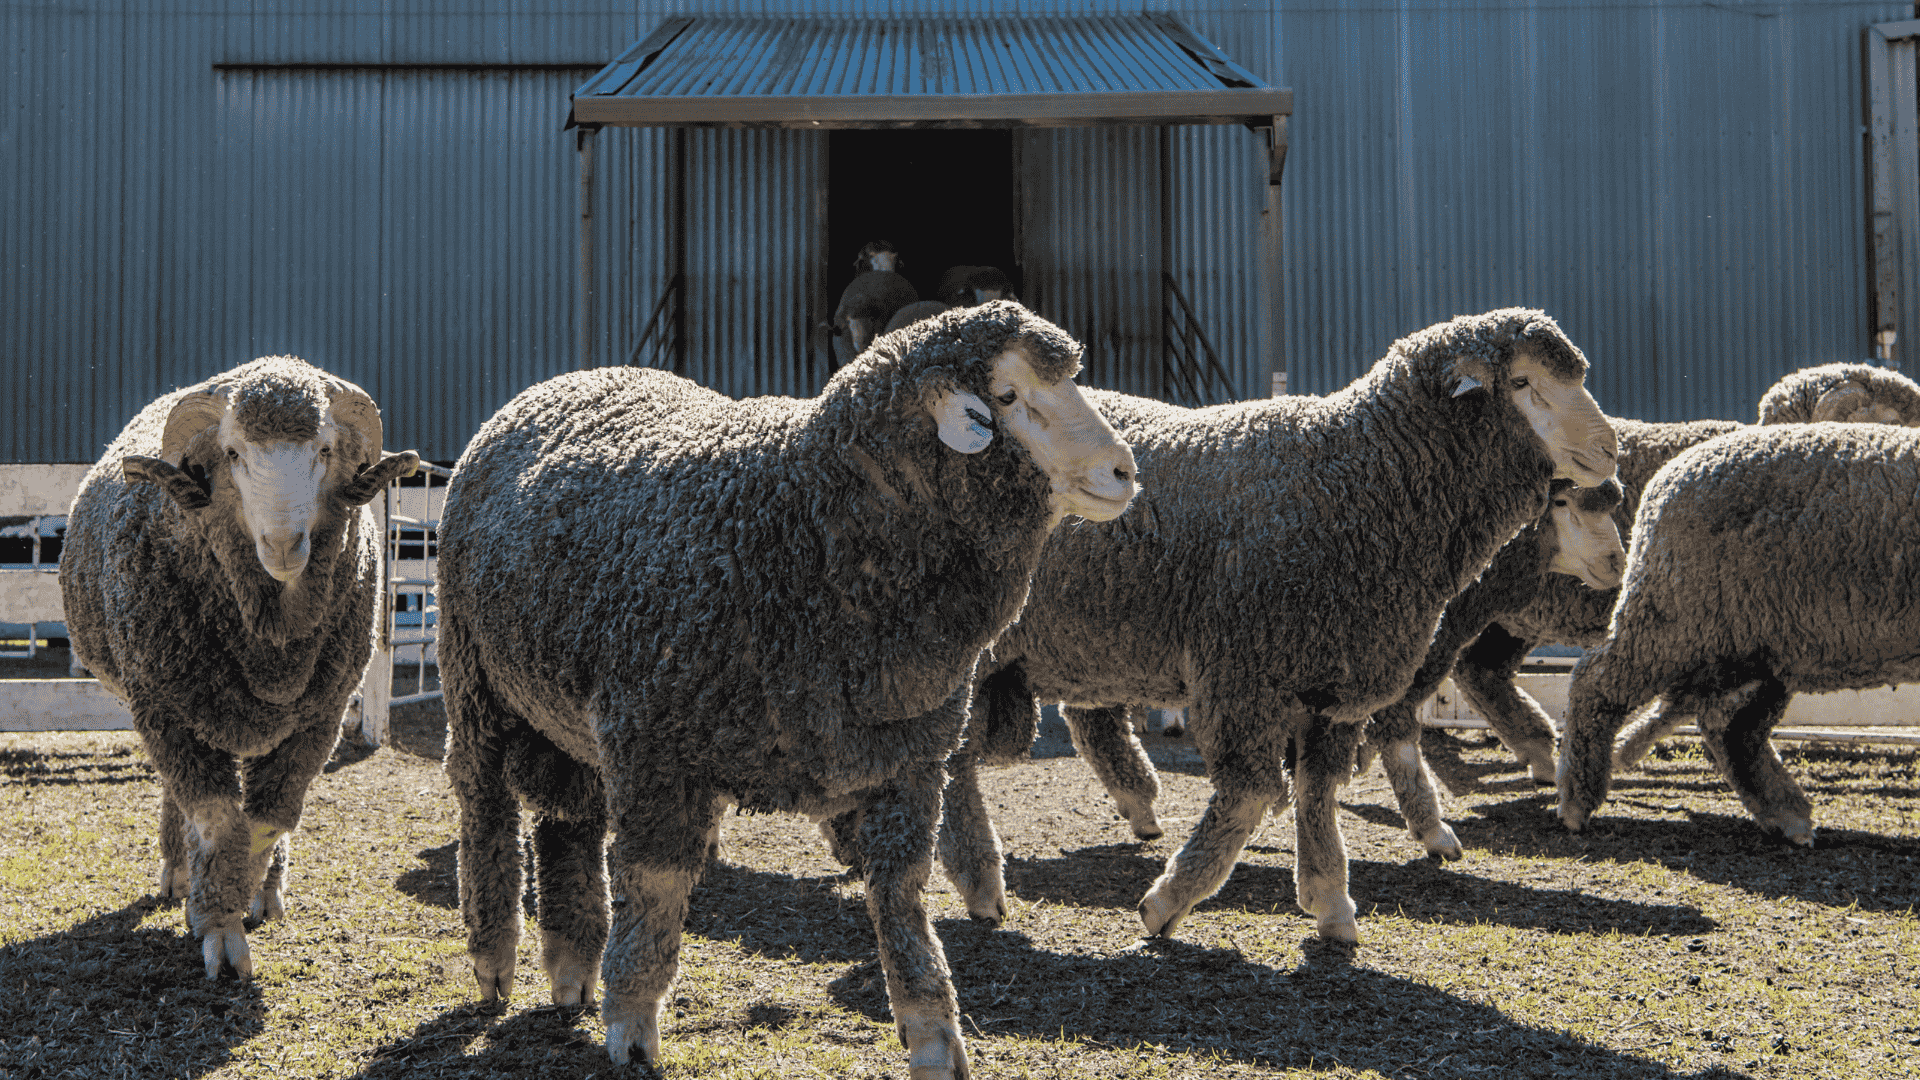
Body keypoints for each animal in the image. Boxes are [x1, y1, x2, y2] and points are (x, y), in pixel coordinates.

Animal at [57, 356, 419, 979]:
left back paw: (267, 892)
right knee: (179, 795)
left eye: (325, 450)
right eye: (232, 454)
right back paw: (179, 874)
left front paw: (242, 890)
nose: (284, 544)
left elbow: (266, 820)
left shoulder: (318, 719)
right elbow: (217, 818)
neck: (270, 640)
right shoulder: (167, 710)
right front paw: (218, 926)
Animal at [433, 301, 1138, 1079]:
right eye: (1008, 397)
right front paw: (632, 1026)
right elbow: (652, 891)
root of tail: (558, 383)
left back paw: (570, 973)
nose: (1124, 470)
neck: (800, 524)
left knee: (569, 825)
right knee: (486, 818)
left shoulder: (906, 763)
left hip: (570, 719)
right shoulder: (653, 750)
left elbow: (901, 897)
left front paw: (933, 1034)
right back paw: (495, 962)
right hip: (473, 681)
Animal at [934, 308, 1616, 944]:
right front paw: (1168, 902)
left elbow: (1317, 788)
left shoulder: (1330, 685)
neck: (1360, 480)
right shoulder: (1246, 672)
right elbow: (1252, 793)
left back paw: (1122, 814)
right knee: (958, 760)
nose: (1608, 451)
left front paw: (1329, 899)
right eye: (1523, 382)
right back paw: (983, 883)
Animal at [1555, 422, 1920, 845]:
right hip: (1674, 618)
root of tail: (1665, 479)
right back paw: (1576, 803)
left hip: (1752, 646)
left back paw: (1787, 815)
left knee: (1732, 730)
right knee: (1594, 683)